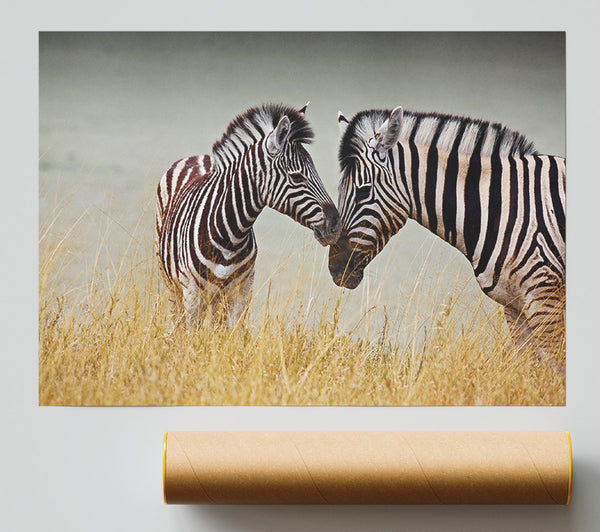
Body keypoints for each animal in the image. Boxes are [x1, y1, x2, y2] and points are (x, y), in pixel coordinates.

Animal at [157, 103, 340, 328]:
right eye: (297, 177)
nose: (336, 224)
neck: (229, 235)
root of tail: (197, 157)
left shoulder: (243, 291)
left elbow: (231, 334)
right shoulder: (192, 293)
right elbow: (192, 333)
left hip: (217, 297)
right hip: (173, 285)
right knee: (177, 322)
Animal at [328, 106, 568, 372]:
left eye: (363, 192)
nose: (335, 268)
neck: (498, 206)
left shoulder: (544, 296)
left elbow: (554, 370)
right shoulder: (513, 304)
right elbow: (530, 370)